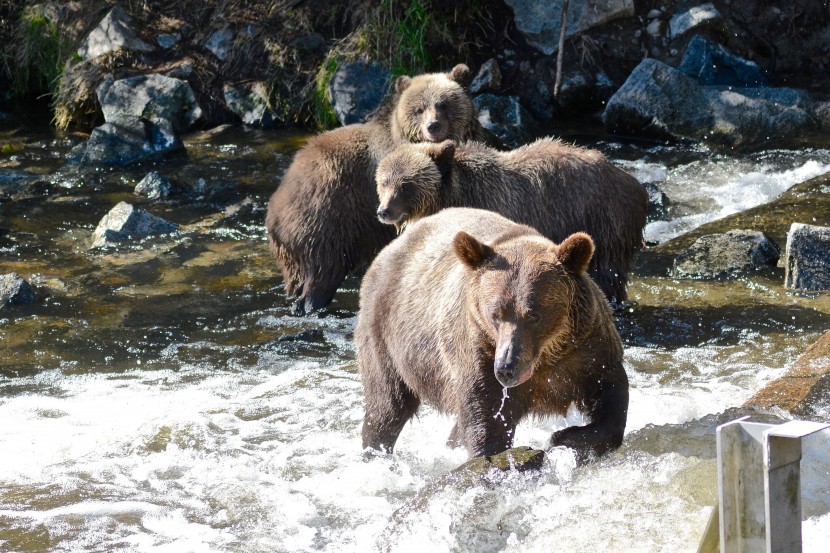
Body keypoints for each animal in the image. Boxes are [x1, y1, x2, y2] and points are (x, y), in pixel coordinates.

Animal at [266, 63, 498, 314]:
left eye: (443, 104)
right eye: (419, 109)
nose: (433, 126)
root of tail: (274, 208)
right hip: (327, 220)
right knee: (323, 271)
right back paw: (311, 305)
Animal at [356, 207, 632, 462]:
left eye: (534, 315)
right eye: (496, 314)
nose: (506, 368)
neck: (546, 357)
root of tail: (393, 246)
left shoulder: (587, 349)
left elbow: (611, 394)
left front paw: (565, 437)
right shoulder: (480, 351)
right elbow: (488, 422)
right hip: (386, 335)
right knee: (387, 405)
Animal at [376, 136, 648, 304]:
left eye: (406, 185)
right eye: (383, 182)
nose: (383, 211)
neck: (452, 194)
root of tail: (634, 182)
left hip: (601, 220)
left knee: (607, 273)